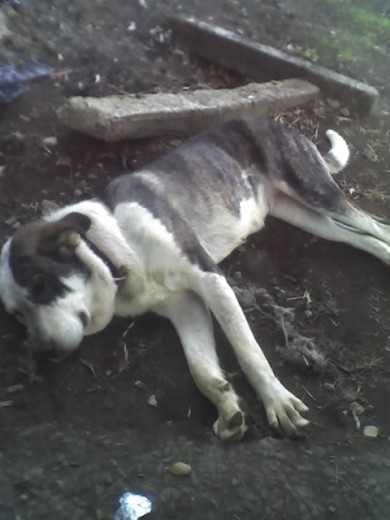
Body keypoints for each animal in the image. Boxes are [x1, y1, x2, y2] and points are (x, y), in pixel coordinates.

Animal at [0, 119, 390, 442]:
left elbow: (249, 351)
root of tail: (270, 121)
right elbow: (201, 368)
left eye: (40, 284)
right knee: (361, 238)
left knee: (376, 225)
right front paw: (229, 409)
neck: (112, 250)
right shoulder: (184, 305)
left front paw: (277, 402)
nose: (43, 355)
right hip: (303, 215)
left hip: (314, 192)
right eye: (17, 316)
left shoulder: (209, 277)